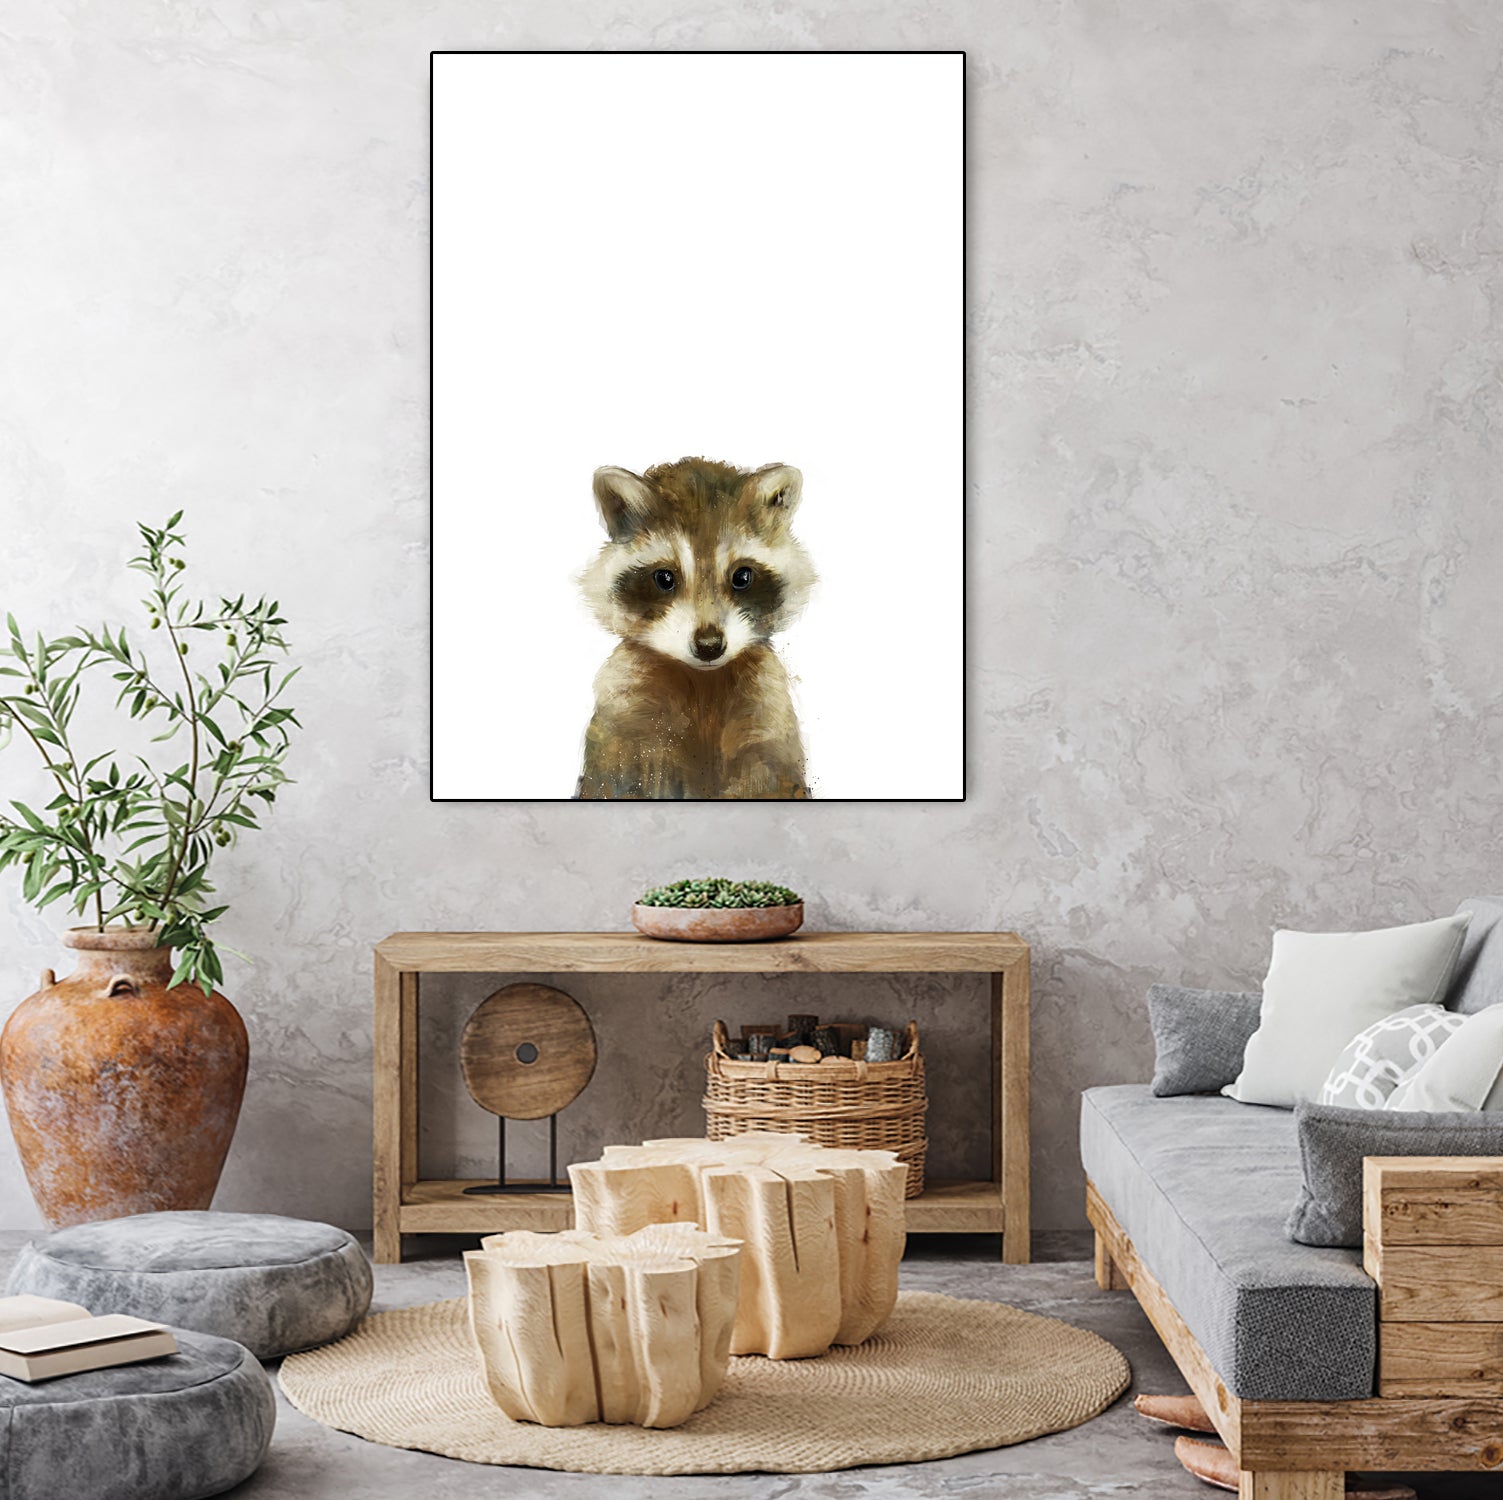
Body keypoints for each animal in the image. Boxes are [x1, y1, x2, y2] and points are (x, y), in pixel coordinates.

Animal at [575, 457, 817, 800]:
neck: (703, 681)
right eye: (664, 578)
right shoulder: (625, 715)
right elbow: (621, 779)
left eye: (742, 577)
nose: (709, 645)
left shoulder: (766, 714)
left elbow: (769, 778)